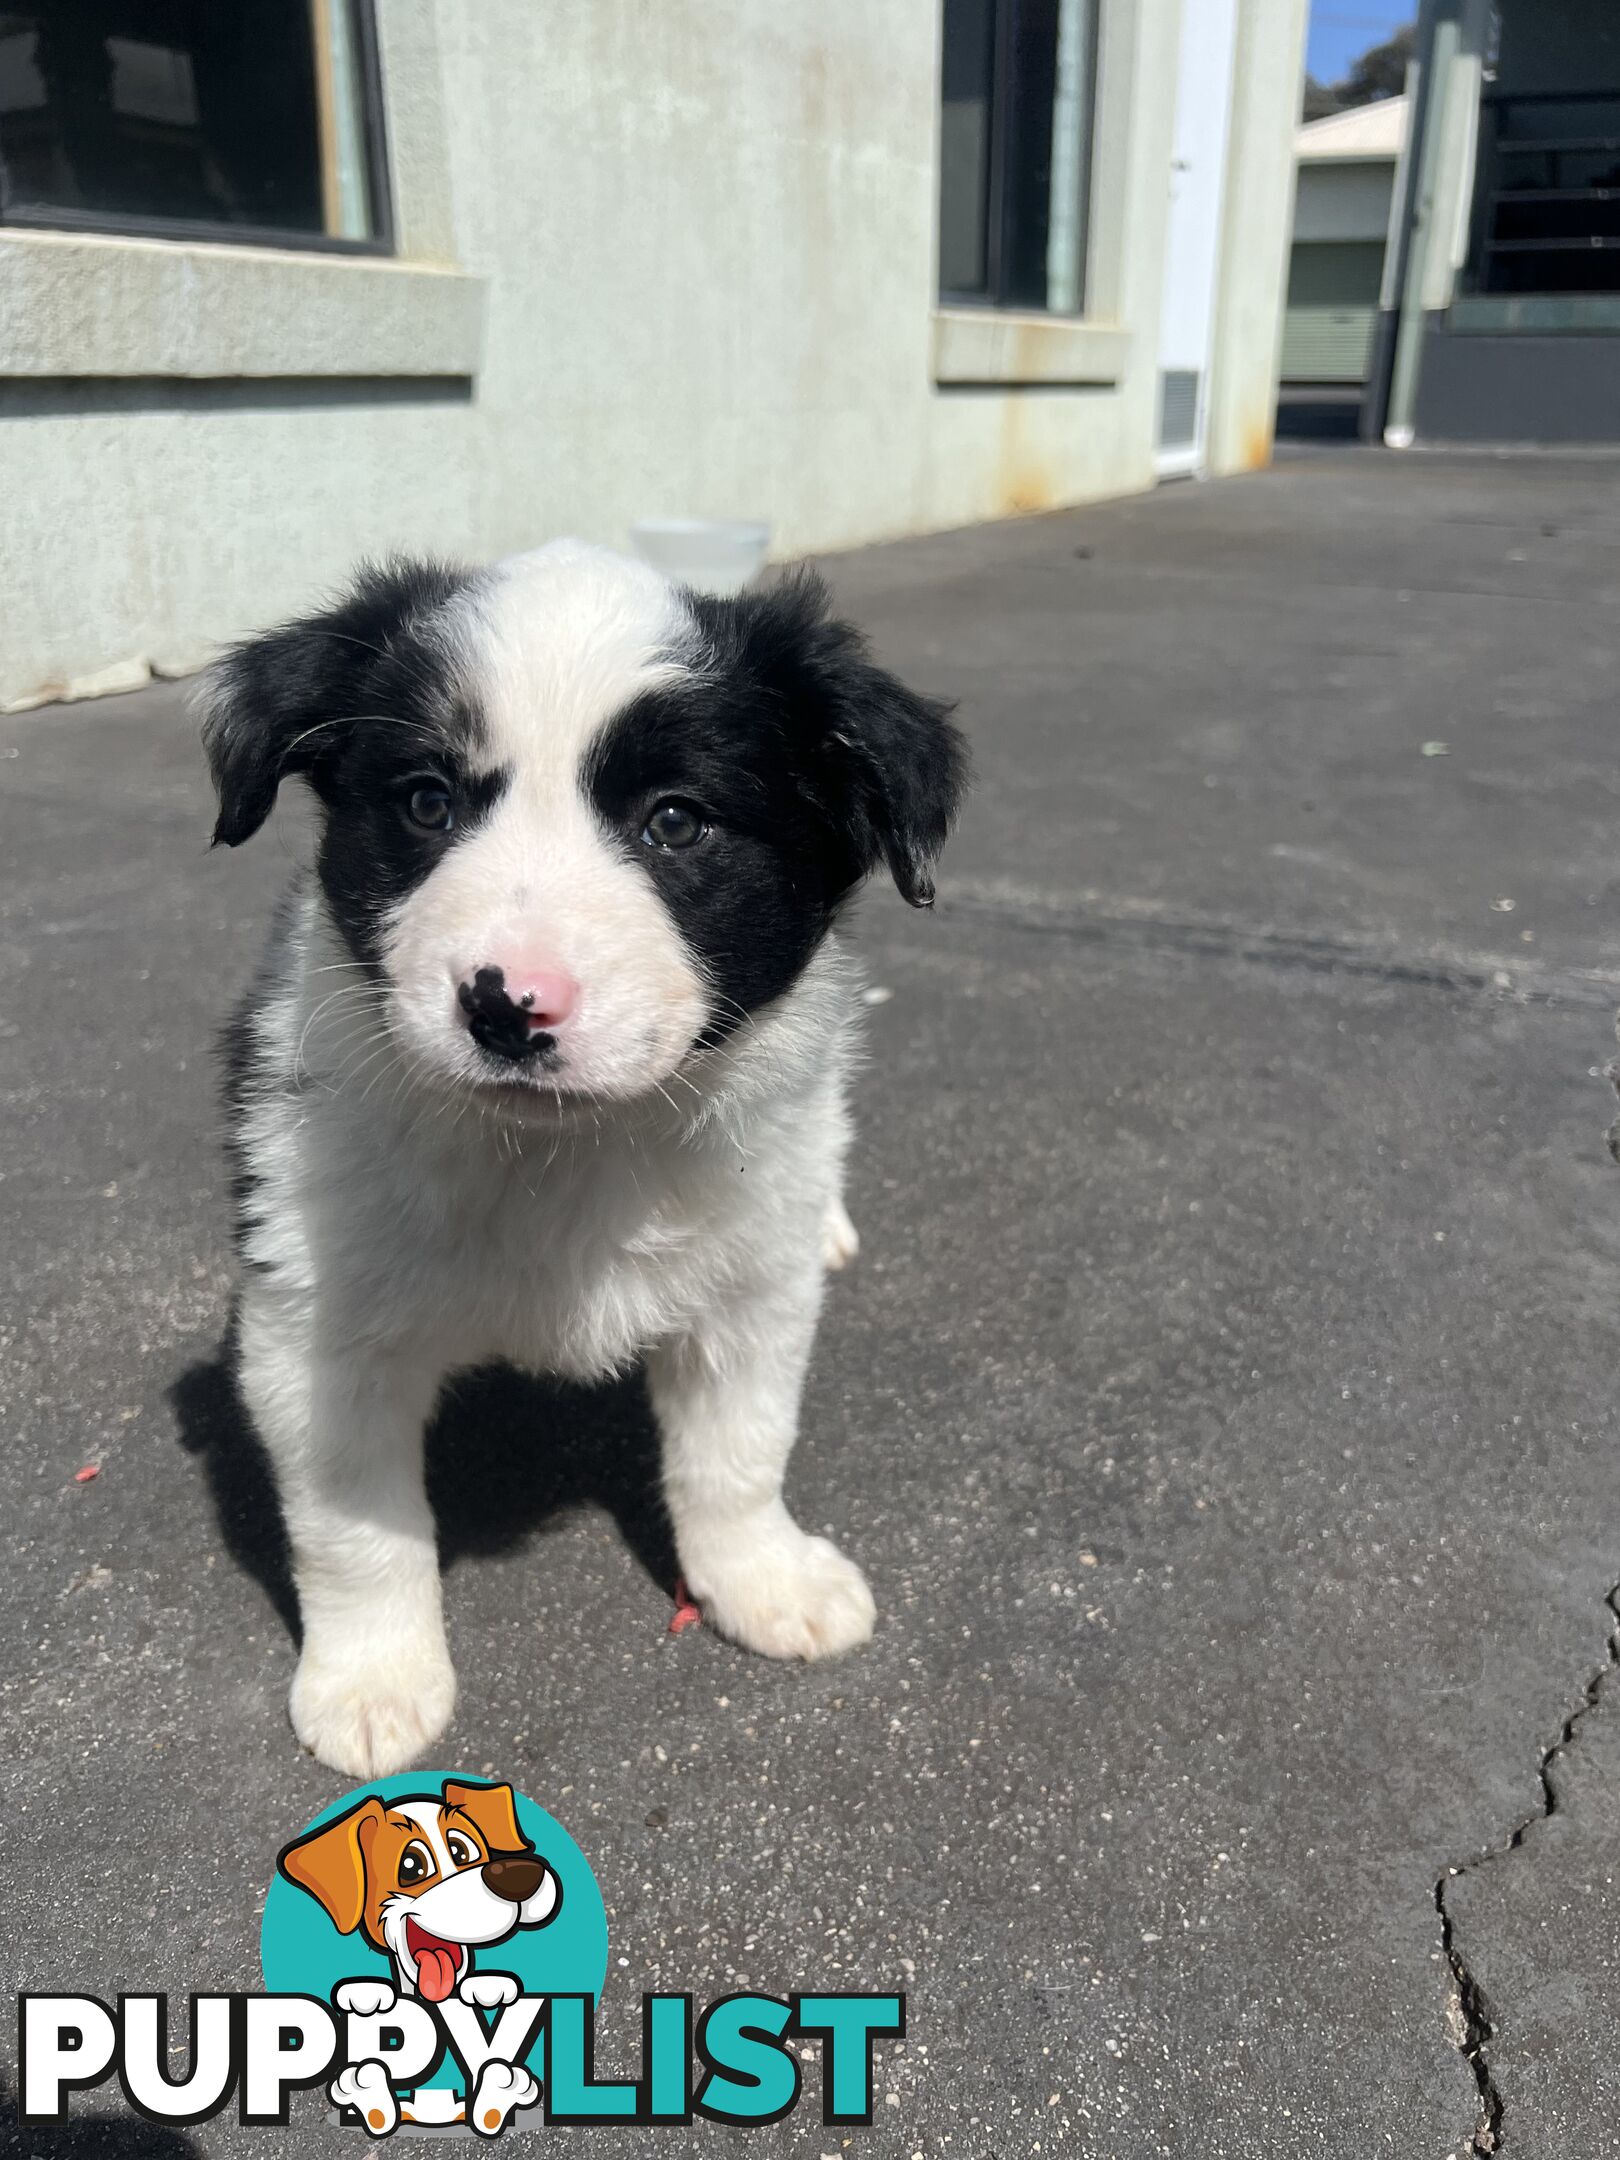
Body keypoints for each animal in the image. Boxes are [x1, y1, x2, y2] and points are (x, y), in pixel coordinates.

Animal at [201, 540, 963, 1771]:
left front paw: (763, 1579)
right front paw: (373, 1679)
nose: (506, 1005)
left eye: (676, 822)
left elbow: (739, 1450)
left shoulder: (749, 1291)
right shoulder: (313, 1322)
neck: (563, 1153)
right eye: (426, 802)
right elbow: (354, 1522)